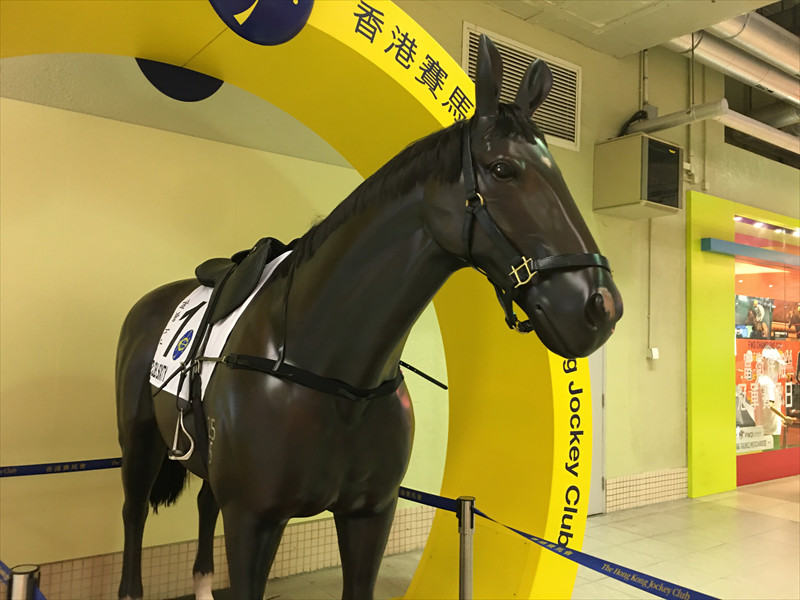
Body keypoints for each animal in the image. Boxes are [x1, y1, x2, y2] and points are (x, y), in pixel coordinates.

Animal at [115, 34, 623, 600]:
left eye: (559, 176)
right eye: (502, 170)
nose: (600, 306)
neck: (333, 375)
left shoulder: (369, 515)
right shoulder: (253, 520)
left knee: (205, 504)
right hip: (138, 444)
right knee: (133, 514)